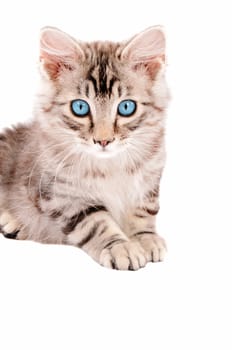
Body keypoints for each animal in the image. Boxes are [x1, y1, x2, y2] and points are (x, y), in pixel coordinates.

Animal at [0, 26, 169, 270]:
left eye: (126, 107)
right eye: (80, 107)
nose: (103, 141)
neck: (110, 166)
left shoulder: (149, 182)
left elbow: (143, 213)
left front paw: (145, 238)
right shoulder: (63, 196)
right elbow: (96, 223)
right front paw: (121, 247)